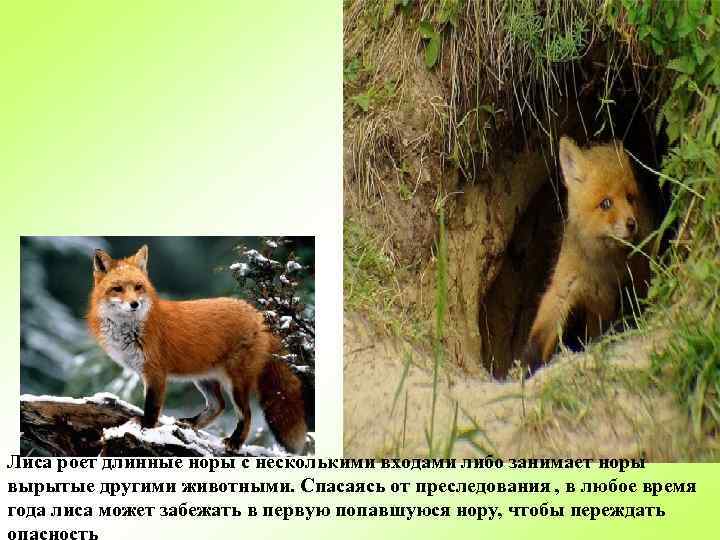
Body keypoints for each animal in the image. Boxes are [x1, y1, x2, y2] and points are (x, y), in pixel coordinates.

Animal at [87, 245, 308, 454]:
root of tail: (259, 314)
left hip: (236, 382)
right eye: (117, 289)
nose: (134, 304)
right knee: (218, 405)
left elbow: (151, 407)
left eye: (138, 287)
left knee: (246, 413)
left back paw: (235, 442)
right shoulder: (144, 372)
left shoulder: (155, 372)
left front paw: (146, 428)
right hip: (203, 379)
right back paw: (191, 424)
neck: (131, 329)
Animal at [522, 136, 653, 374]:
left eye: (630, 198)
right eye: (606, 203)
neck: (599, 265)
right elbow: (541, 335)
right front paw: (525, 366)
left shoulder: (613, 294)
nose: (632, 224)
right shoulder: (564, 288)